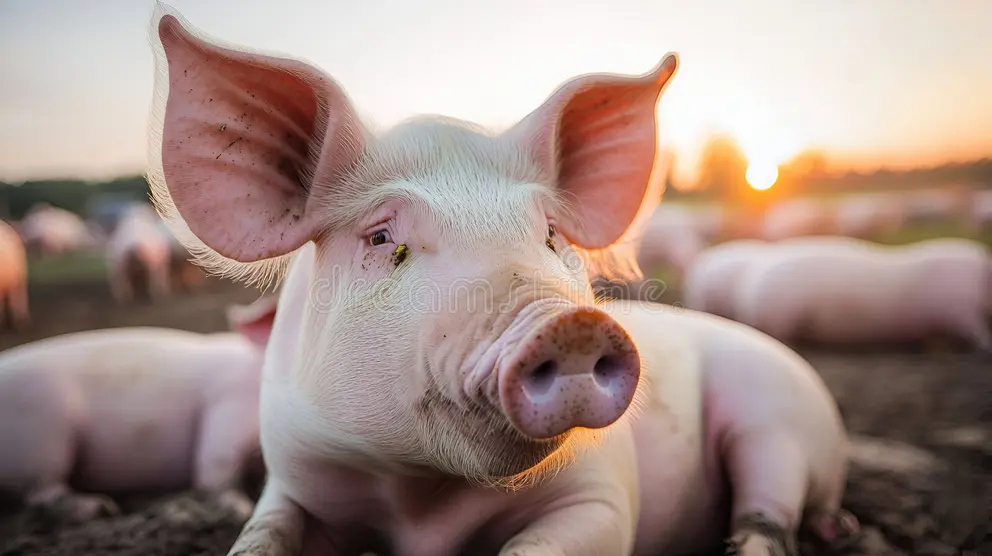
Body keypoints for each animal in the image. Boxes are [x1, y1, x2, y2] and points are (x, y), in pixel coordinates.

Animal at [0, 298, 273, 523]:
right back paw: (101, 509)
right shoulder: (226, 410)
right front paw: (239, 510)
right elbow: (217, 472)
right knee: (42, 491)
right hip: (43, 435)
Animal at [144, 5, 859, 555]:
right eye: (382, 238)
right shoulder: (290, 478)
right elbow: (260, 538)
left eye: (551, 233)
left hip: (780, 416)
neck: (423, 501)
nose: (570, 323)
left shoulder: (603, 497)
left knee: (769, 507)